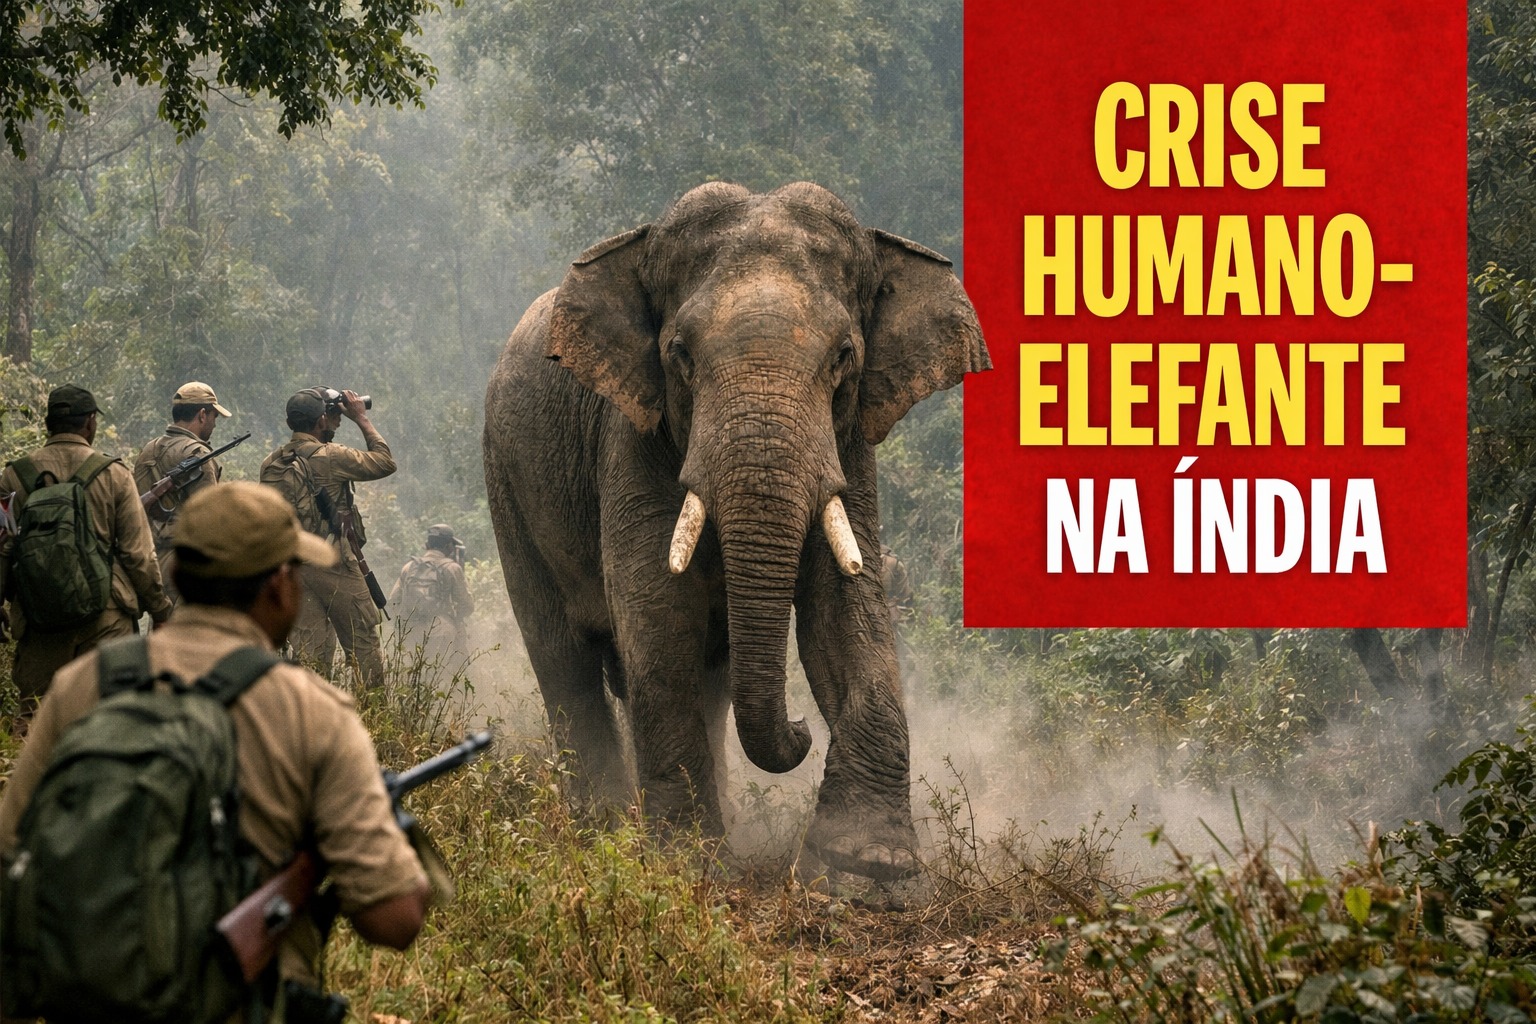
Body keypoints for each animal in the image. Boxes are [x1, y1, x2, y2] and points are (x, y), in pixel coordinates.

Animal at [483, 182, 989, 880]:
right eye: (680, 356)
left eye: (844, 357)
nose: (802, 729)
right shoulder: (631, 435)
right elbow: (656, 612)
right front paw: (686, 866)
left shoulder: (849, 445)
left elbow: (846, 610)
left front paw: (869, 869)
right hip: (505, 477)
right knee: (564, 657)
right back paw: (600, 825)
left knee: (713, 679)